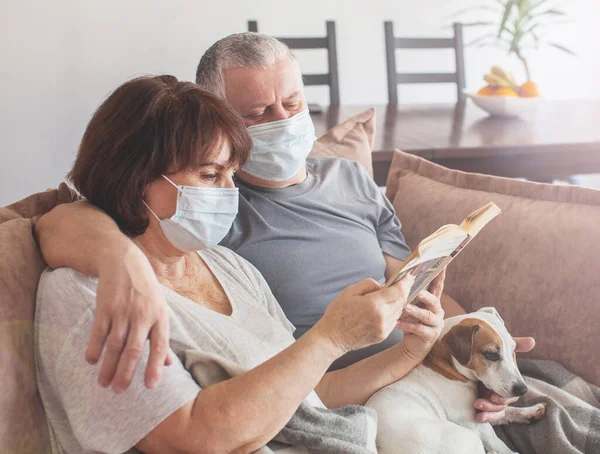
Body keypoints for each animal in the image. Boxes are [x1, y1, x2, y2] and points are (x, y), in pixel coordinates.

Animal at [364, 306, 548, 452]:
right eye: (491, 355)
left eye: (514, 350)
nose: (522, 389)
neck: (448, 365)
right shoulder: (473, 423)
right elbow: (499, 444)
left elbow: (506, 412)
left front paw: (529, 412)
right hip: (467, 437)